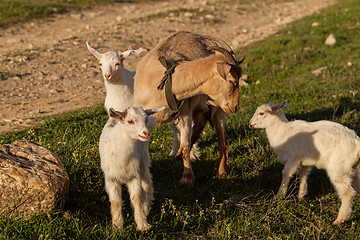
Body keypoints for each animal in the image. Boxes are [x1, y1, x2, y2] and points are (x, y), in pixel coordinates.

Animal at [133, 31, 245, 186]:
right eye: (232, 81)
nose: (235, 106)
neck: (164, 82)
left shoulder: (185, 113)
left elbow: (186, 146)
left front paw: (187, 178)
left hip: (218, 108)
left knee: (222, 137)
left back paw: (222, 170)